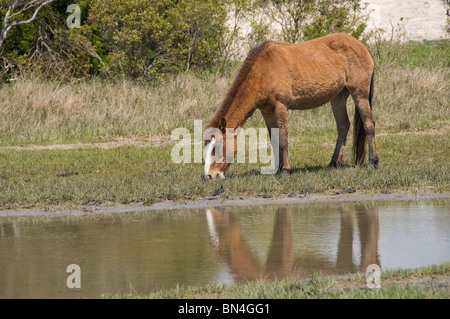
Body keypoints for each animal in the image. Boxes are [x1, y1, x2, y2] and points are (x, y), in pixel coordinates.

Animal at [204, 34, 376, 182]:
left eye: (216, 148)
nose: (210, 176)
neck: (263, 71)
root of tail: (362, 47)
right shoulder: (267, 111)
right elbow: (274, 138)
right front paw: (278, 169)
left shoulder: (280, 107)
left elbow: (283, 139)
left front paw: (286, 170)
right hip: (338, 97)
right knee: (343, 126)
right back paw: (334, 163)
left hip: (359, 94)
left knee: (369, 124)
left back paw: (372, 163)